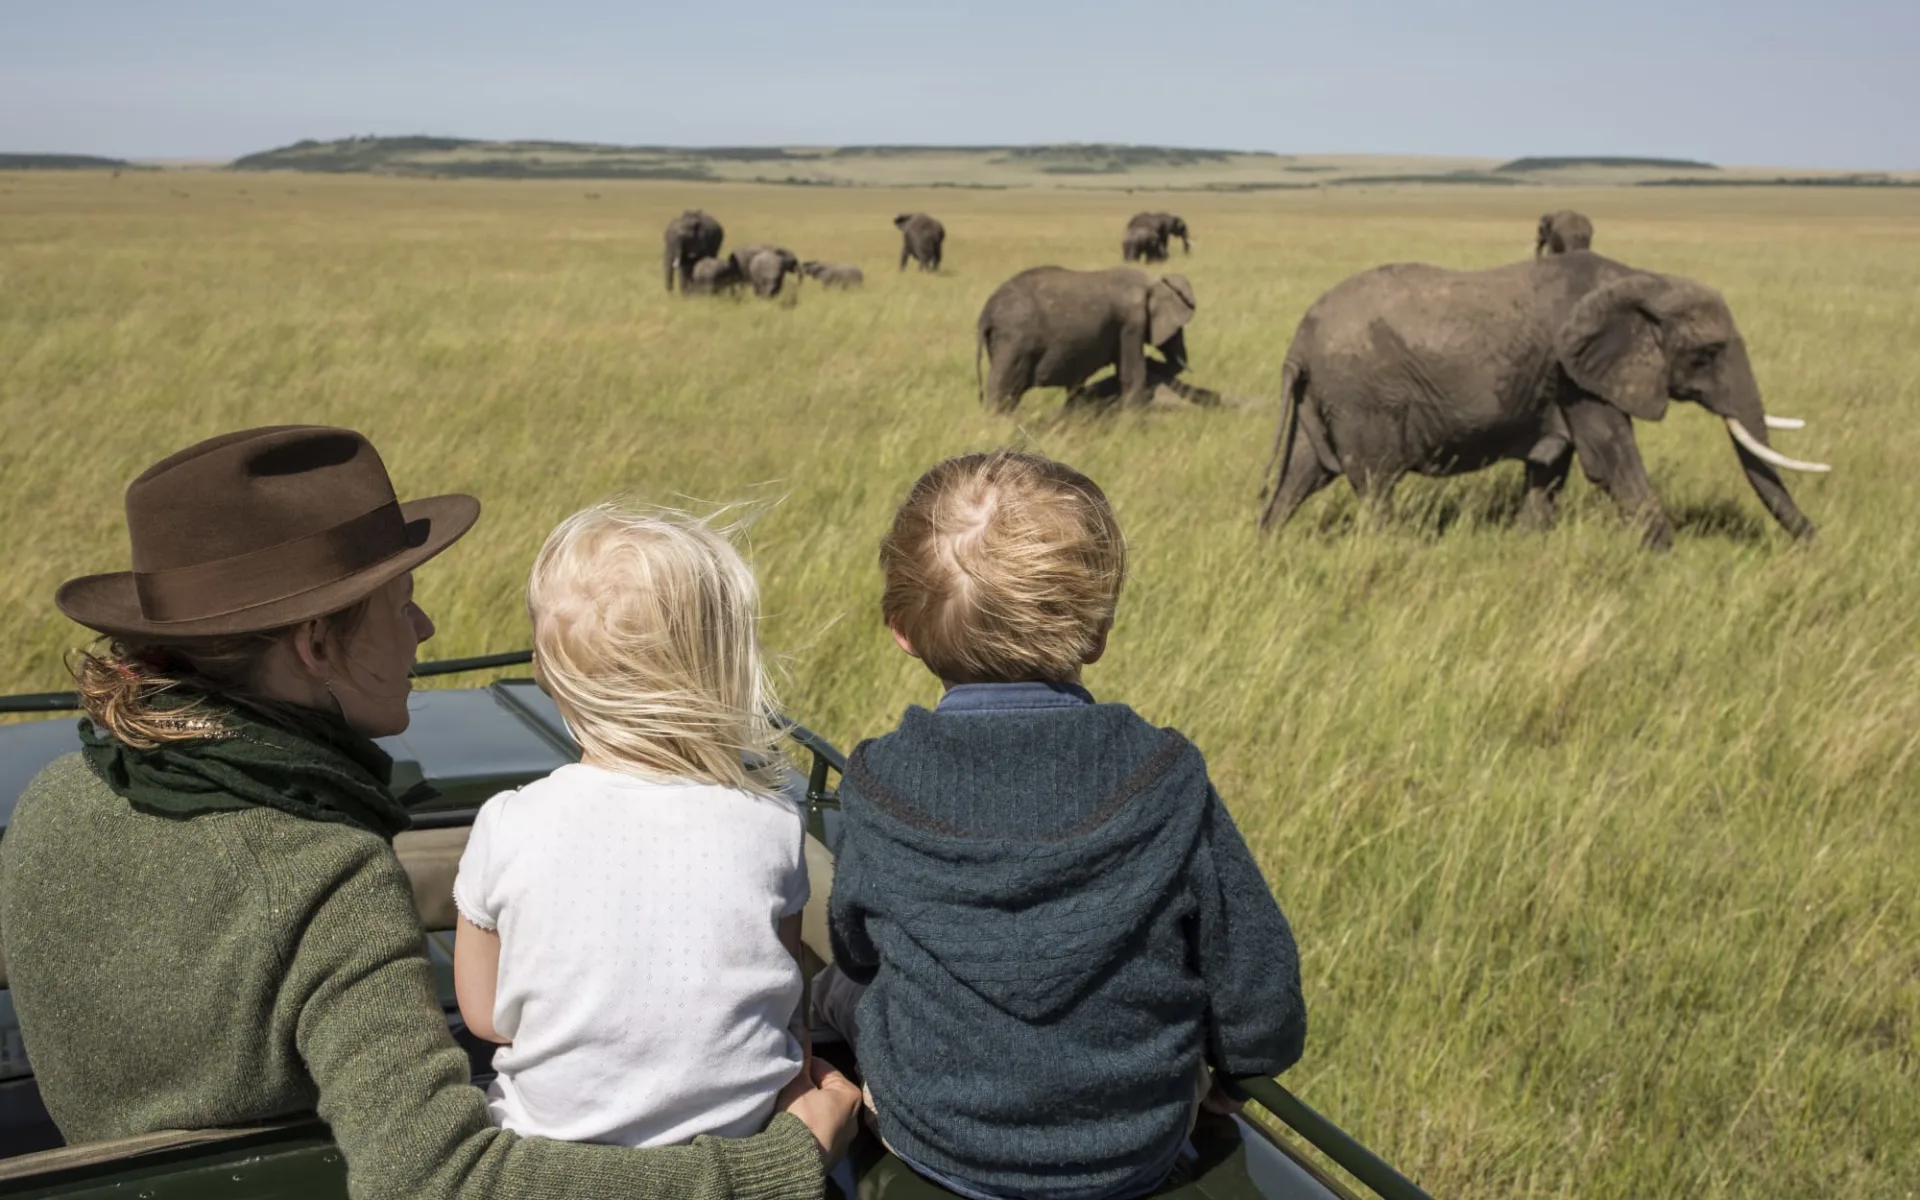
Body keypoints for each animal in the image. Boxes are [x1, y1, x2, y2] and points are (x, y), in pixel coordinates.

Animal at [983, 264, 1190, 410]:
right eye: (1177, 329)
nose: (1151, 359)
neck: (1150, 281)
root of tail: (987, 311)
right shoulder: (1131, 324)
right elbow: (1131, 374)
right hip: (1013, 342)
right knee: (1004, 390)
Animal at [1259, 253, 1827, 552]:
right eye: (1707, 354)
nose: (1817, 544)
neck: (1642, 281)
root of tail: (1297, 342)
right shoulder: (1577, 376)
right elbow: (1612, 460)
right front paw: (1665, 559)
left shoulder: (1561, 384)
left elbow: (1551, 467)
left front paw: (1527, 547)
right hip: (1363, 396)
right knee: (1374, 482)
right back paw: (1393, 551)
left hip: (1328, 397)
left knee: (1302, 475)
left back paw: (1267, 546)